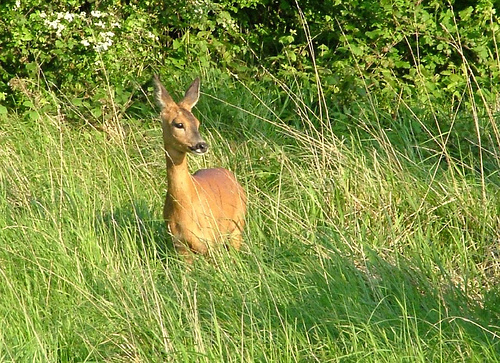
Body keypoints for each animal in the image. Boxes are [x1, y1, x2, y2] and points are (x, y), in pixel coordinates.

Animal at [152, 75, 246, 258]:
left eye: (197, 122)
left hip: (237, 227)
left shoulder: (210, 241)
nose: (202, 145)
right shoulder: (179, 245)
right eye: (178, 124)